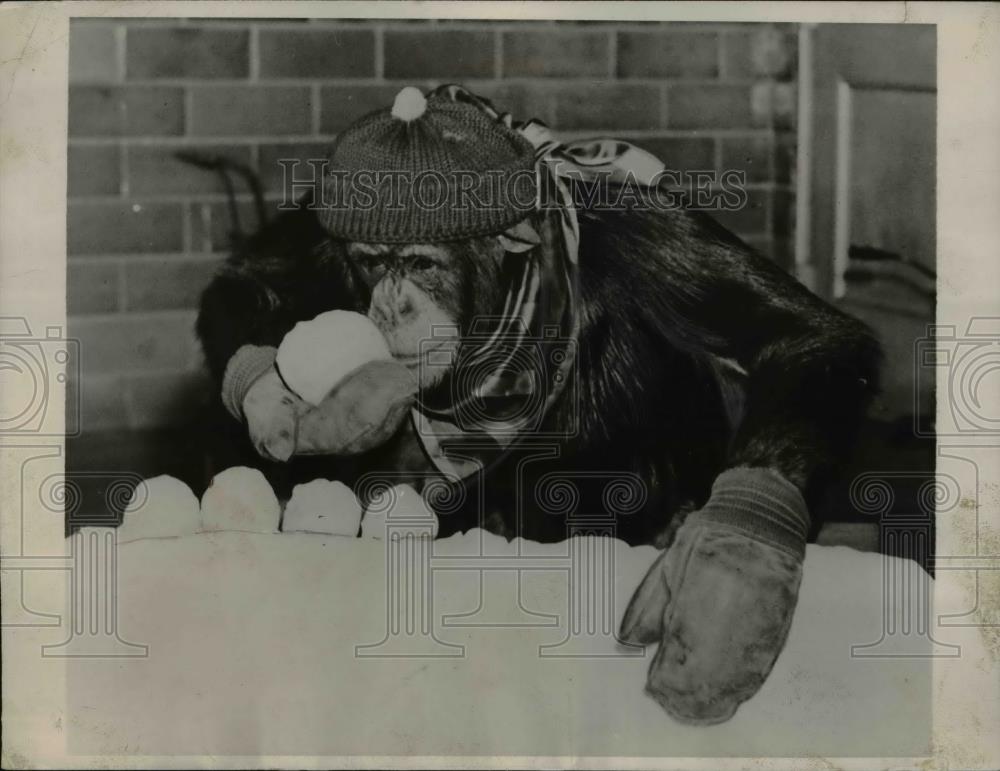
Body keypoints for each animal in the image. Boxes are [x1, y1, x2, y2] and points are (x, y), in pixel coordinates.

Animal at [195, 87, 884, 728]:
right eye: (371, 264)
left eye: (421, 263)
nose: (391, 306)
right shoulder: (325, 227)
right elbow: (254, 282)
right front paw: (272, 398)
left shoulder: (639, 228)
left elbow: (799, 337)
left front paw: (733, 578)